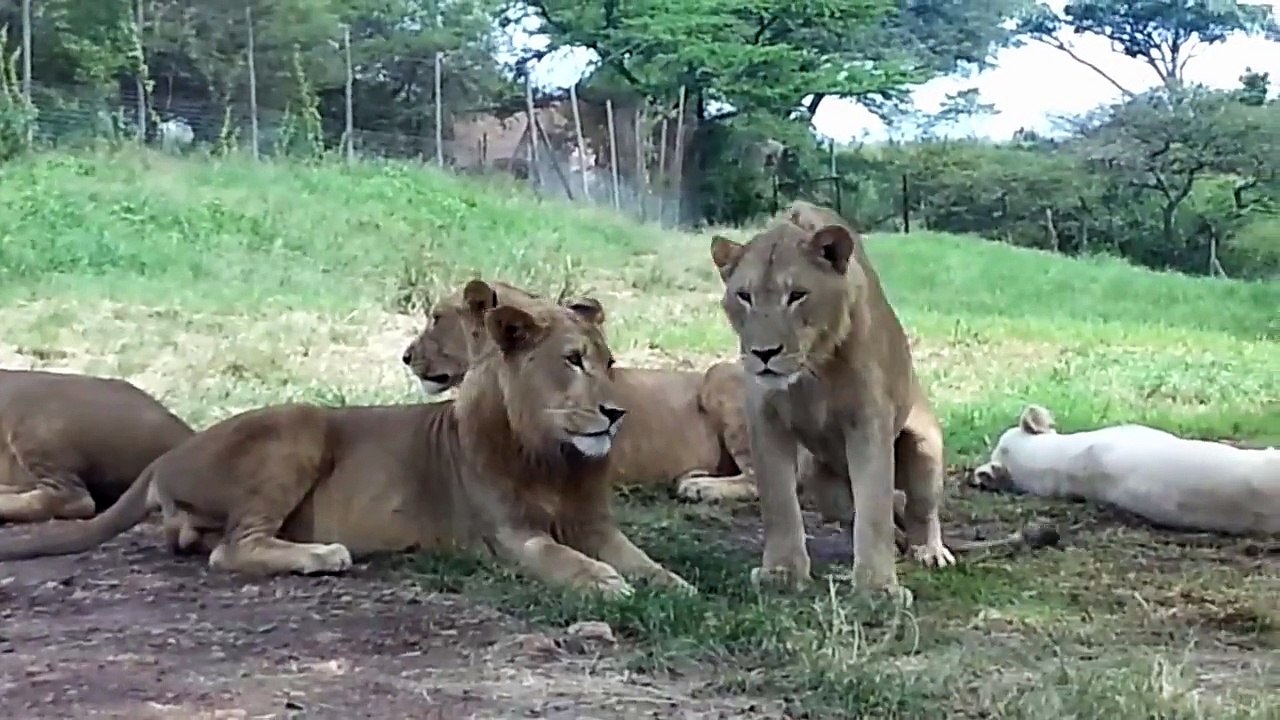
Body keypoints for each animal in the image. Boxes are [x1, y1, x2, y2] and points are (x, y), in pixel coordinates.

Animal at [708, 200, 954, 607]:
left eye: (797, 295)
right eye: (744, 296)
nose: (763, 354)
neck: (812, 369)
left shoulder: (868, 422)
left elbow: (875, 508)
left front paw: (878, 589)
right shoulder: (766, 418)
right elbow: (779, 501)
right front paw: (782, 573)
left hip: (925, 448)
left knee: (921, 509)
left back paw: (929, 550)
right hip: (819, 478)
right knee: (855, 513)